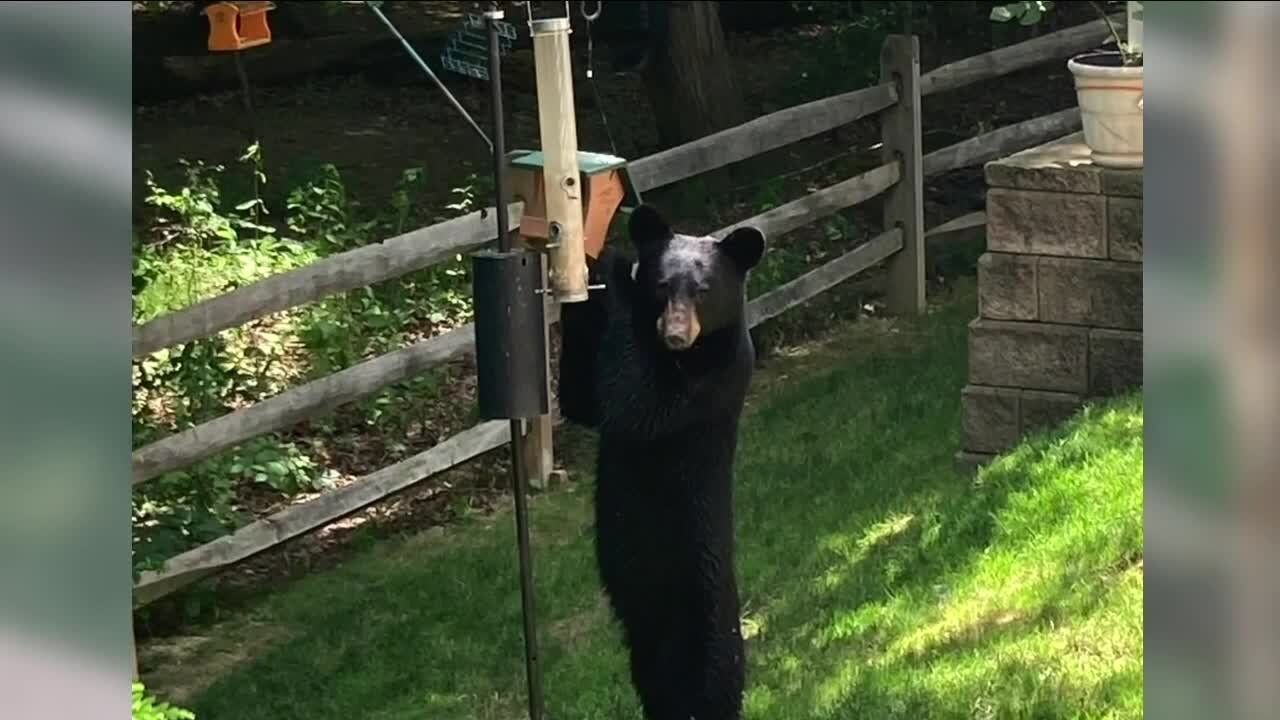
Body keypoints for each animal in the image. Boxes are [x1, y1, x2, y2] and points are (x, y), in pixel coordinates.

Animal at [558, 203, 757, 717]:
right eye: (664, 285)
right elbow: (581, 399)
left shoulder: (709, 381)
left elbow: (634, 403)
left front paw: (614, 267)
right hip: (644, 642)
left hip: (705, 623)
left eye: (703, 290)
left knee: (713, 684)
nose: (675, 334)